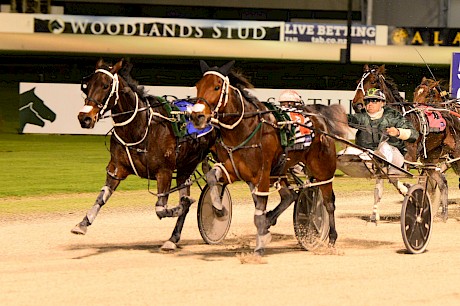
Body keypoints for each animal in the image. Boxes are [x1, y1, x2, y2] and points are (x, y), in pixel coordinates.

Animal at [70, 58, 217, 251]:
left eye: (105, 85)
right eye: (86, 86)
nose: (84, 118)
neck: (140, 128)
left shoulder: (164, 172)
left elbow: (161, 208)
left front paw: (183, 204)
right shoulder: (116, 169)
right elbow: (102, 197)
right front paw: (82, 224)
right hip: (185, 169)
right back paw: (173, 238)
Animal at [189, 60, 346, 256]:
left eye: (217, 87)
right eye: (197, 86)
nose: (197, 116)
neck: (245, 128)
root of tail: (320, 119)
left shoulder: (262, 176)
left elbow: (258, 215)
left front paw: (258, 248)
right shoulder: (234, 170)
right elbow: (211, 177)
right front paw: (219, 209)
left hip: (322, 170)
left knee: (327, 202)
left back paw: (331, 239)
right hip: (280, 170)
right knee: (289, 196)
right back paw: (270, 219)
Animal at [352, 64, 460, 220]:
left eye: (373, 81)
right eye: (357, 82)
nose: (357, 105)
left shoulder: (408, 157)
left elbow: (396, 179)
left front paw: (407, 190)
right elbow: (380, 187)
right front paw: (374, 215)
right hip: (430, 158)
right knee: (442, 182)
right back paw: (444, 215)